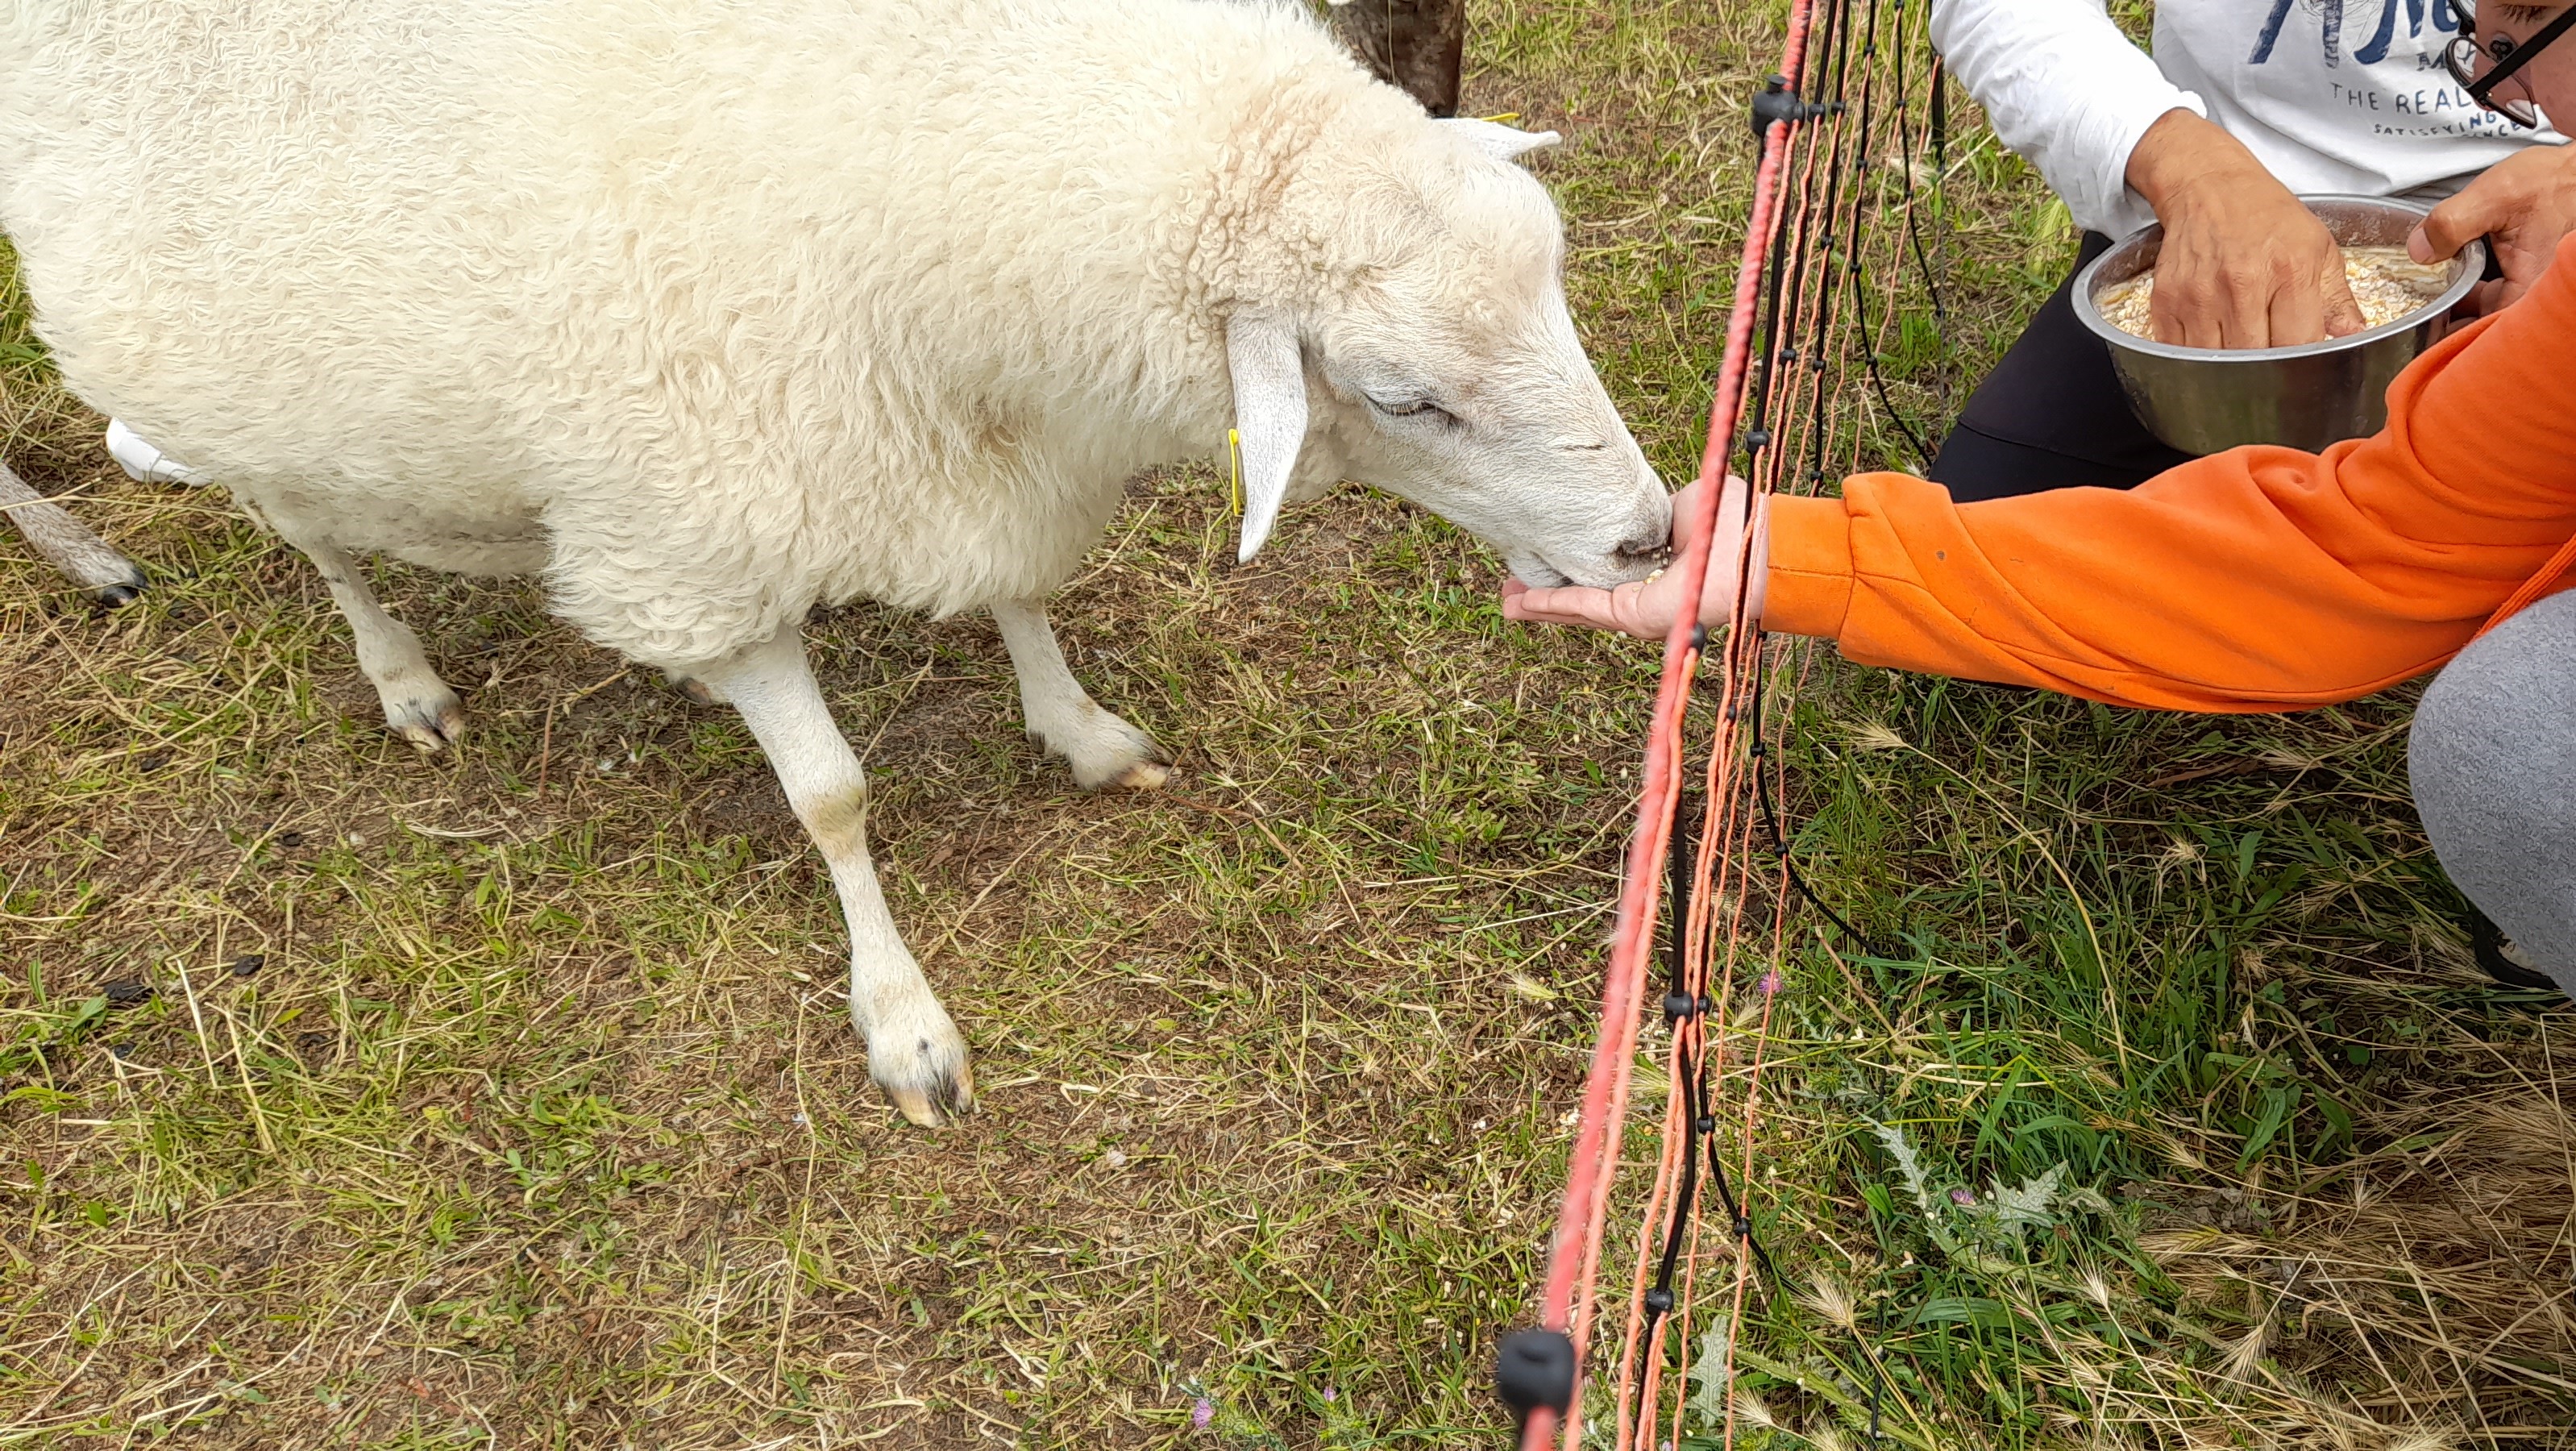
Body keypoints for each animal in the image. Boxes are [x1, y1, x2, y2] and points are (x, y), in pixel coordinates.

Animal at [5, 0, 1669, 1129]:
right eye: (1404, 398)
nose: (1653, 537)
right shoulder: (699, 529)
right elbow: (831, 798)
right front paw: (904, 1021)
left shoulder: (954, 440)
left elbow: (1018, 592)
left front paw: (1075, 729)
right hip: (236, 391)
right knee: (318, 543)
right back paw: (397, 674)